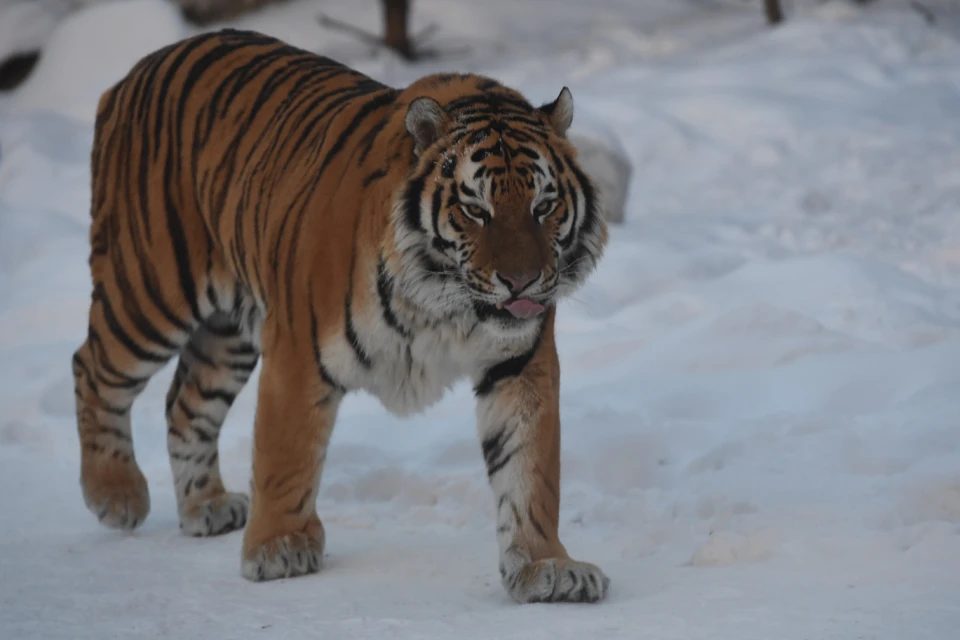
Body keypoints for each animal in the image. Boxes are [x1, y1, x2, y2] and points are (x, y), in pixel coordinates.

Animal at [77, 26, 616, 604]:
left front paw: (547, 566)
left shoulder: (519, 364)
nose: (522, 282)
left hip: (228, 333)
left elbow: (530, 470)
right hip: (150, 290)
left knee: (185, 403)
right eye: (476, 209)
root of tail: (134, 72)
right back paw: (115, 494)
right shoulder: (296, 351)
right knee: (93, 367)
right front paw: (279, 547)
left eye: (544, 206)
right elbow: (286, 455)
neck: (445, 305)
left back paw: (207, 506)